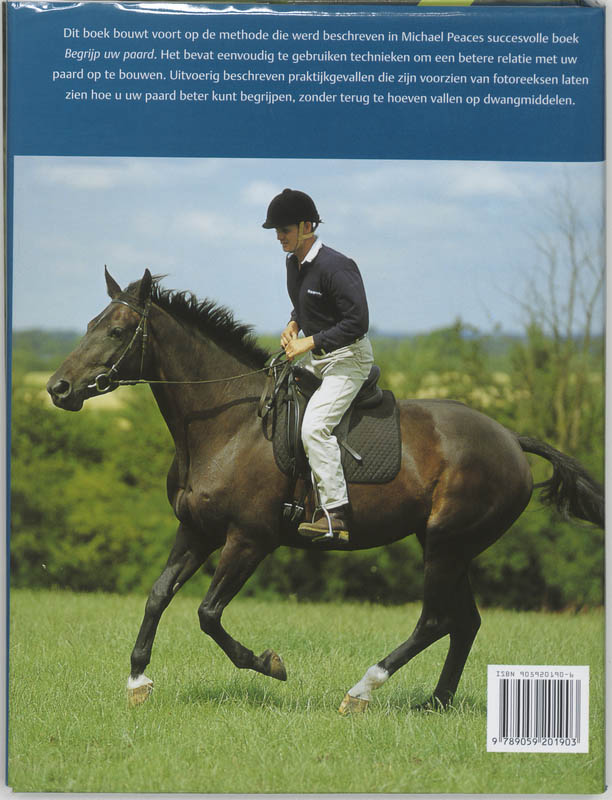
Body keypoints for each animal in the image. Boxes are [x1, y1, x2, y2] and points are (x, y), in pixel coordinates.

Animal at [46, 269, 604, 712]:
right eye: (90, 325)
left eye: (117, 331)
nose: (58, 388)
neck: (227, 425)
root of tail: (510, 438)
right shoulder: (197, 531)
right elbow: (158, 596)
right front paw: (138, 681)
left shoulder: (249, 539)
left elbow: (208, 614)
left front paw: (269, 663)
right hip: (446, 545)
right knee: (463, 622)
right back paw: (435, 704)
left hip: (448, 545)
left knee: (435, 620)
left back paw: (362, 691)